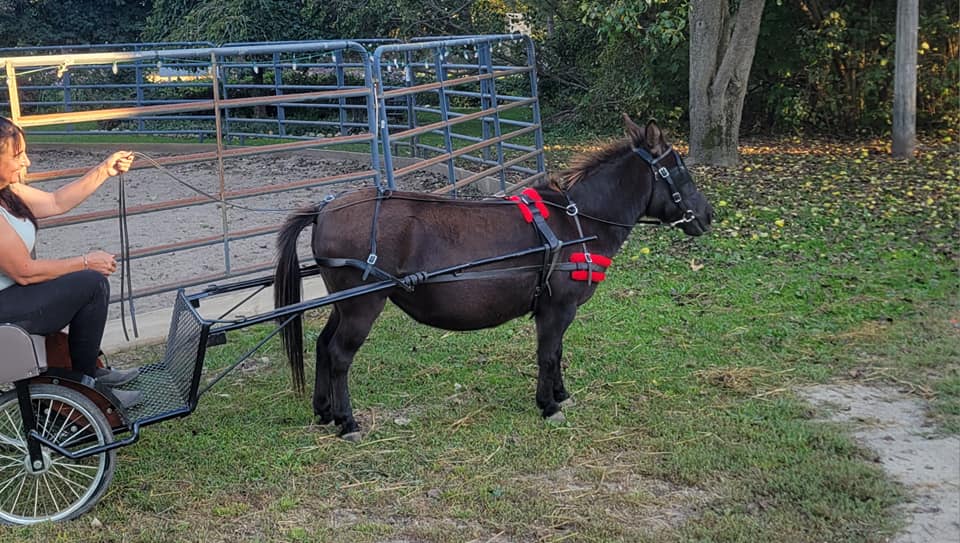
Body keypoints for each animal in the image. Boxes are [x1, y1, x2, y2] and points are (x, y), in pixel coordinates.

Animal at [274, 114, 713, 440]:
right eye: (680, 171)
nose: (708, 216)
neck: (577, 222)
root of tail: (325, 208)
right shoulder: (557, 308)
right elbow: (548, 353)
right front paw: (549, 405)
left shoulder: (557, 311)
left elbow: (557, 353)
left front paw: (560, 394)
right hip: (362, 305)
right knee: (339, 355)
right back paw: (347, 421)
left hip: (344, 305)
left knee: (323, 345)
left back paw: (324, 411)